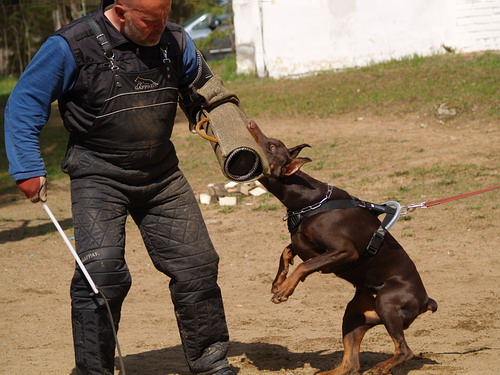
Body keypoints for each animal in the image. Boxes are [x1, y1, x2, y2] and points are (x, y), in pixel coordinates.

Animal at [248, 121, 436, 375]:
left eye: (272, 146)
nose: (251, 123)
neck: (309, 200)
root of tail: (426, 300)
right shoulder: (304, 240)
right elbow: (288, 250)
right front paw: (278, 281)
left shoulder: (345, 251)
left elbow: (305, 263)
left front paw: (284, 289)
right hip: (354, 315)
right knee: (351, 364)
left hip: (388, 303)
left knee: (404, 350)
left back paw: (382, 367)